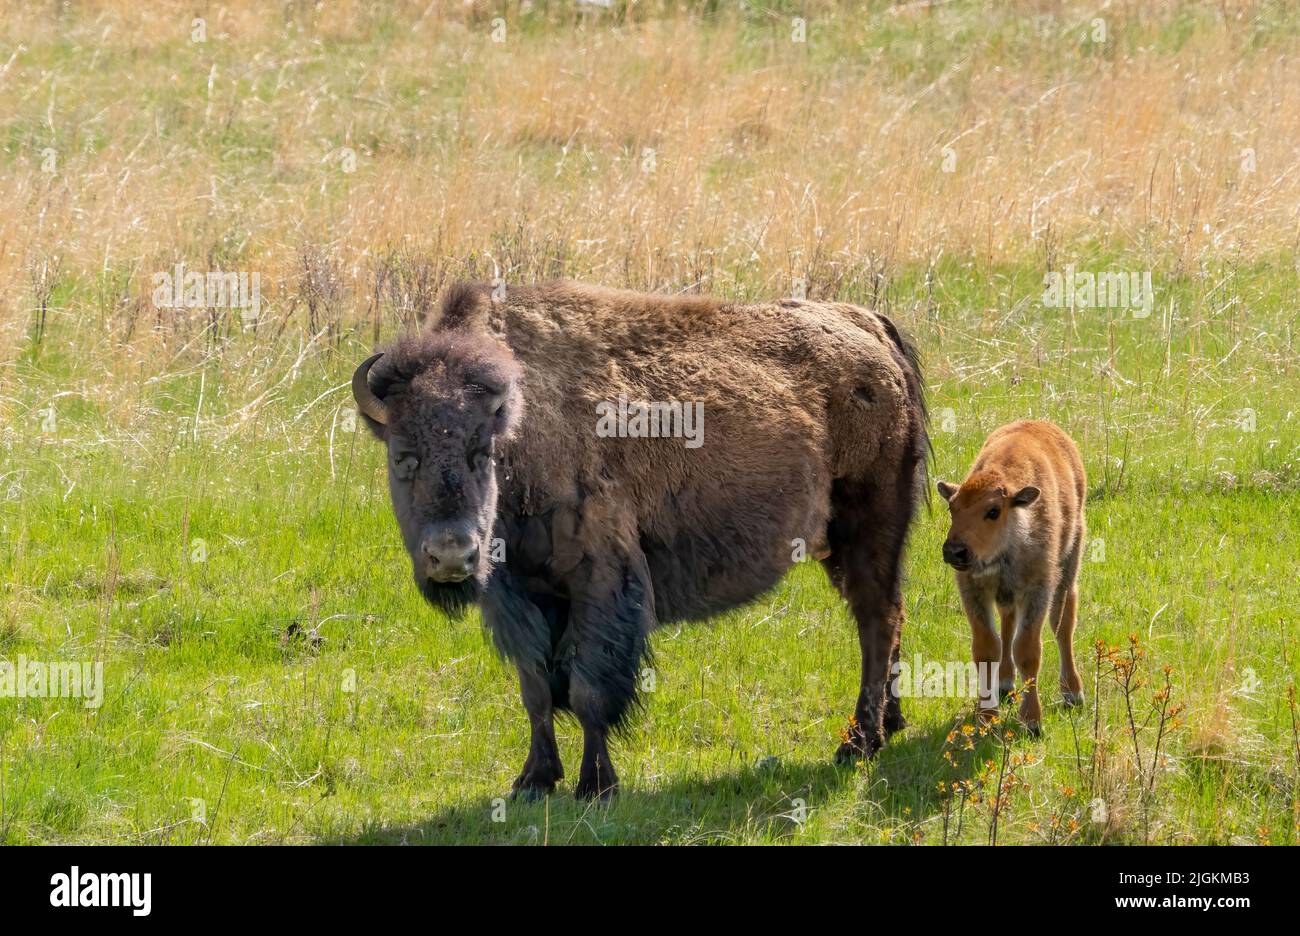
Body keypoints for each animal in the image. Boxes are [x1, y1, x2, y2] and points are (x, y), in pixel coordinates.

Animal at [353, 282, 925, 800]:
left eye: (482, 452)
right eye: (402, 455)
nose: (451, 554)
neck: (521, 427)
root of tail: (870, 325)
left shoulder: (600, 582)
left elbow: (588, 688)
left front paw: (596, 785)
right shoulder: (513, 595)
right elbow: (535, 689)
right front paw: (533, 781)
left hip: (869, 525)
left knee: (877, 620)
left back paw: (857, 743)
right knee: (888, 615)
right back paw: (890, 724)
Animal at [935, 421, 1086, 733]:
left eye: (993, 511)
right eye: (952, 508)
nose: (955, 551)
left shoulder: (1037, 590)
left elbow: (1028, 650)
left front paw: (1032, 722)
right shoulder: (974, 590)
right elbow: (986, 649)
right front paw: (986, 716)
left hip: (1069, 566)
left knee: (1063, 624)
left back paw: (1073, 693)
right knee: (1008, 623)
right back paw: (1004, 683)